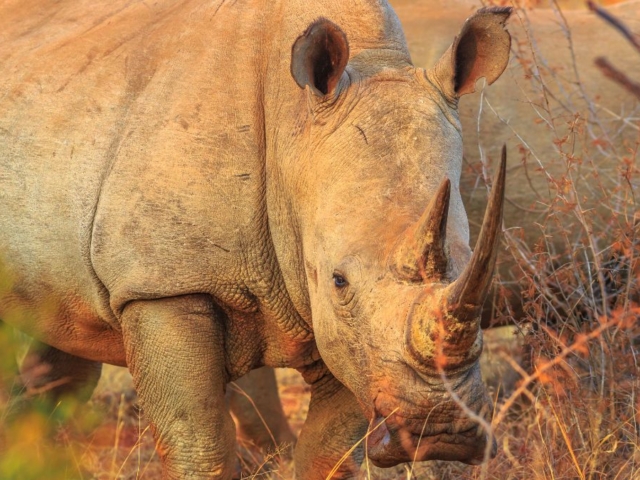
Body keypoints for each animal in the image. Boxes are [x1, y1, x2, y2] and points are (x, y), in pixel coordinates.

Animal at [0, 1, 513, 478]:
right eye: (339, 280)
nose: (441, 430)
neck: (294, 123)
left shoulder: (351, 339)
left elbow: (329, 453)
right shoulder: (162, 283)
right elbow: (198, 446)